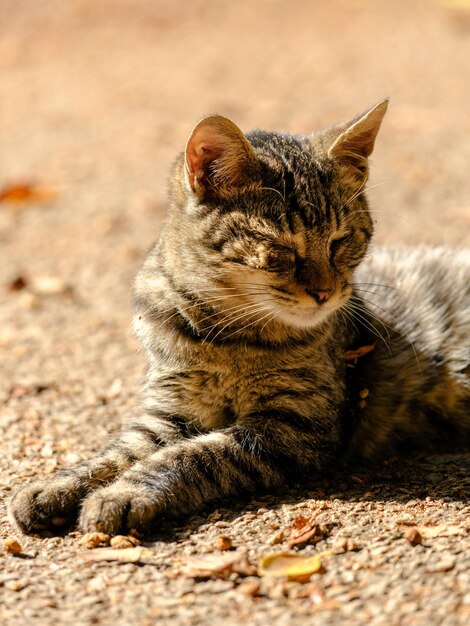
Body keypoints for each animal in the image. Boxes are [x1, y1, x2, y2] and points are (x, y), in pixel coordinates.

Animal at [9, 100, 468, 532]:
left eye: (341, 240)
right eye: (280, 248)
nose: (324, 293)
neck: (225, 336)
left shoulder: (293, 426)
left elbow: (194, 456)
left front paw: (123, 494)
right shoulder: (171, 409)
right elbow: (118, 453)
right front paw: (56, 486)